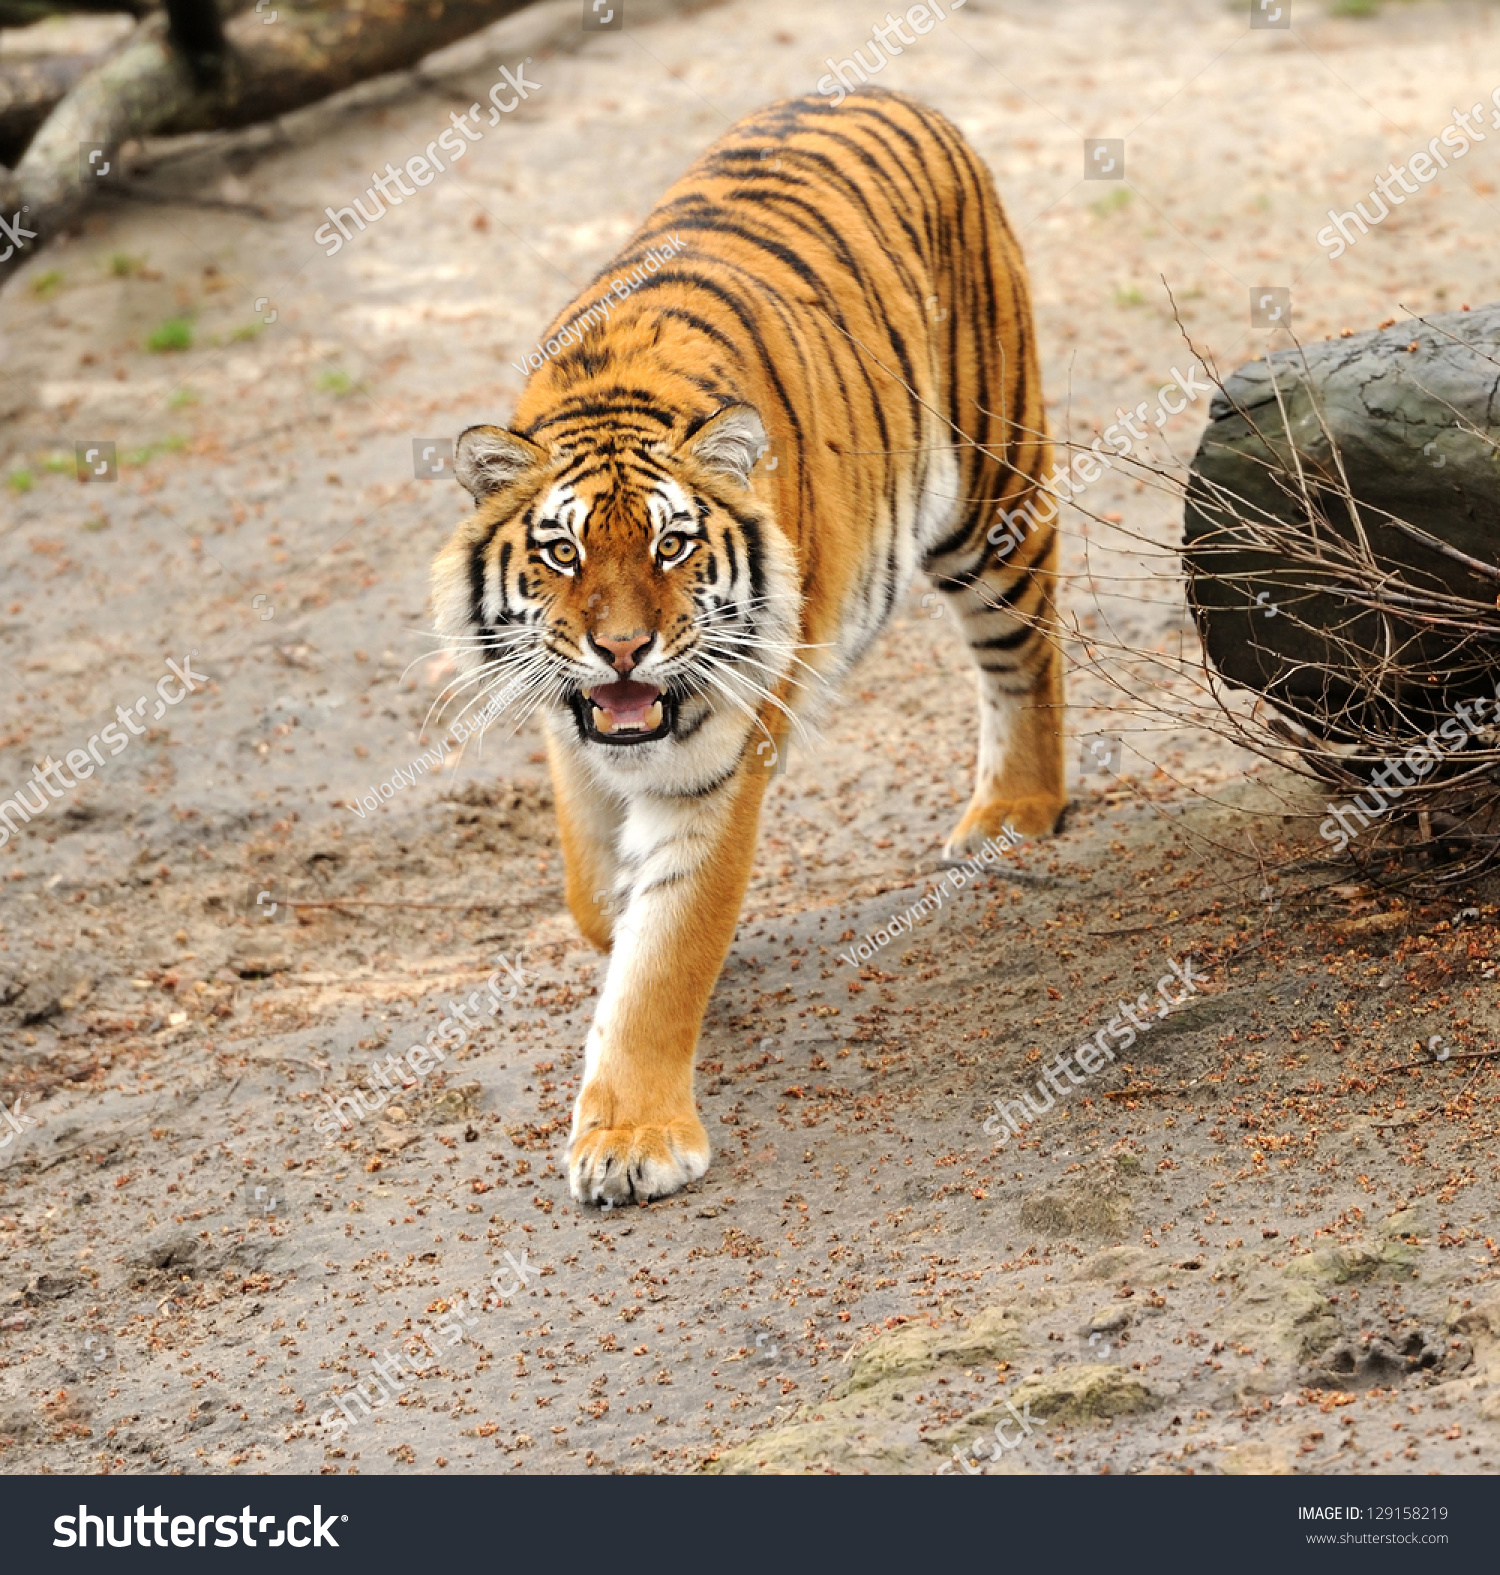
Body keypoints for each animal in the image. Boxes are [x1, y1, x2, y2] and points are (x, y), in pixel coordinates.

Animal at [434, 86, 1065, 1203]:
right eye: (561, 552)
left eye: (672, 544)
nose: (623, 650)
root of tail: (886, 91)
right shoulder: (568, 728)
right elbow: (595, 898)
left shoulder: (717, 760)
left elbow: (668, 950)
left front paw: (634, 1140)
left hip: (991, 492)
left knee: (1024, 648)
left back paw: (1013, 813)